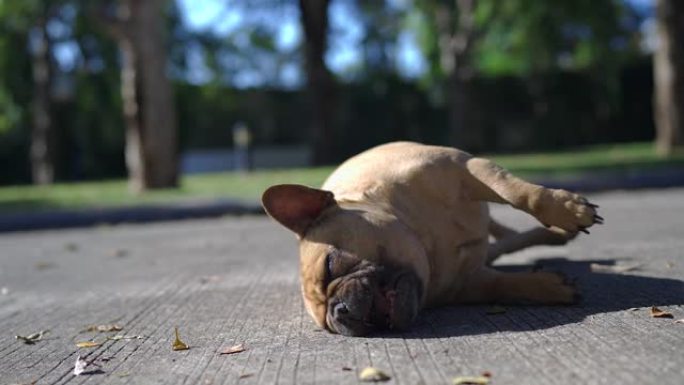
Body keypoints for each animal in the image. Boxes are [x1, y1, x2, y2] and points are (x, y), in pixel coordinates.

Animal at [264, 142, 604, 334]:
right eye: (327, 326)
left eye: (331, 265)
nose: (341, 310)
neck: (427, 243)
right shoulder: (469, 284)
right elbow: (503, 284)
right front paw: (547, 286)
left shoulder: (469, 167)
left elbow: (518, 193)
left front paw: (566, 210)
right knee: (504, 243)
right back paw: (554, 237)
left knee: (503, 225)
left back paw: (559, 228)